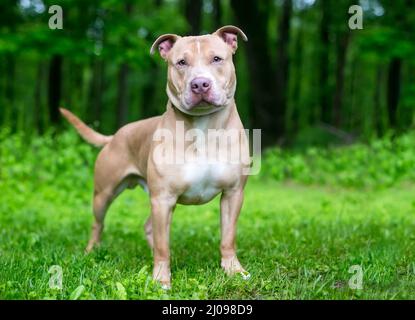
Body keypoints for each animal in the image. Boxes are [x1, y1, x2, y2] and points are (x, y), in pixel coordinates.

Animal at [60, 25, 252, 290]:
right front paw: (161, 279)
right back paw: (92, 251)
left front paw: (233, 270)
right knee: (99, 223)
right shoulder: (163, 199)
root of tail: (115, 136)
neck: (203, 128)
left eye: (216, 59)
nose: (200, 84)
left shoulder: (233, 194)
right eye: (181, 62)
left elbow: (228, 237)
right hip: (104, 194)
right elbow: (163, 246)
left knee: (149, 227)